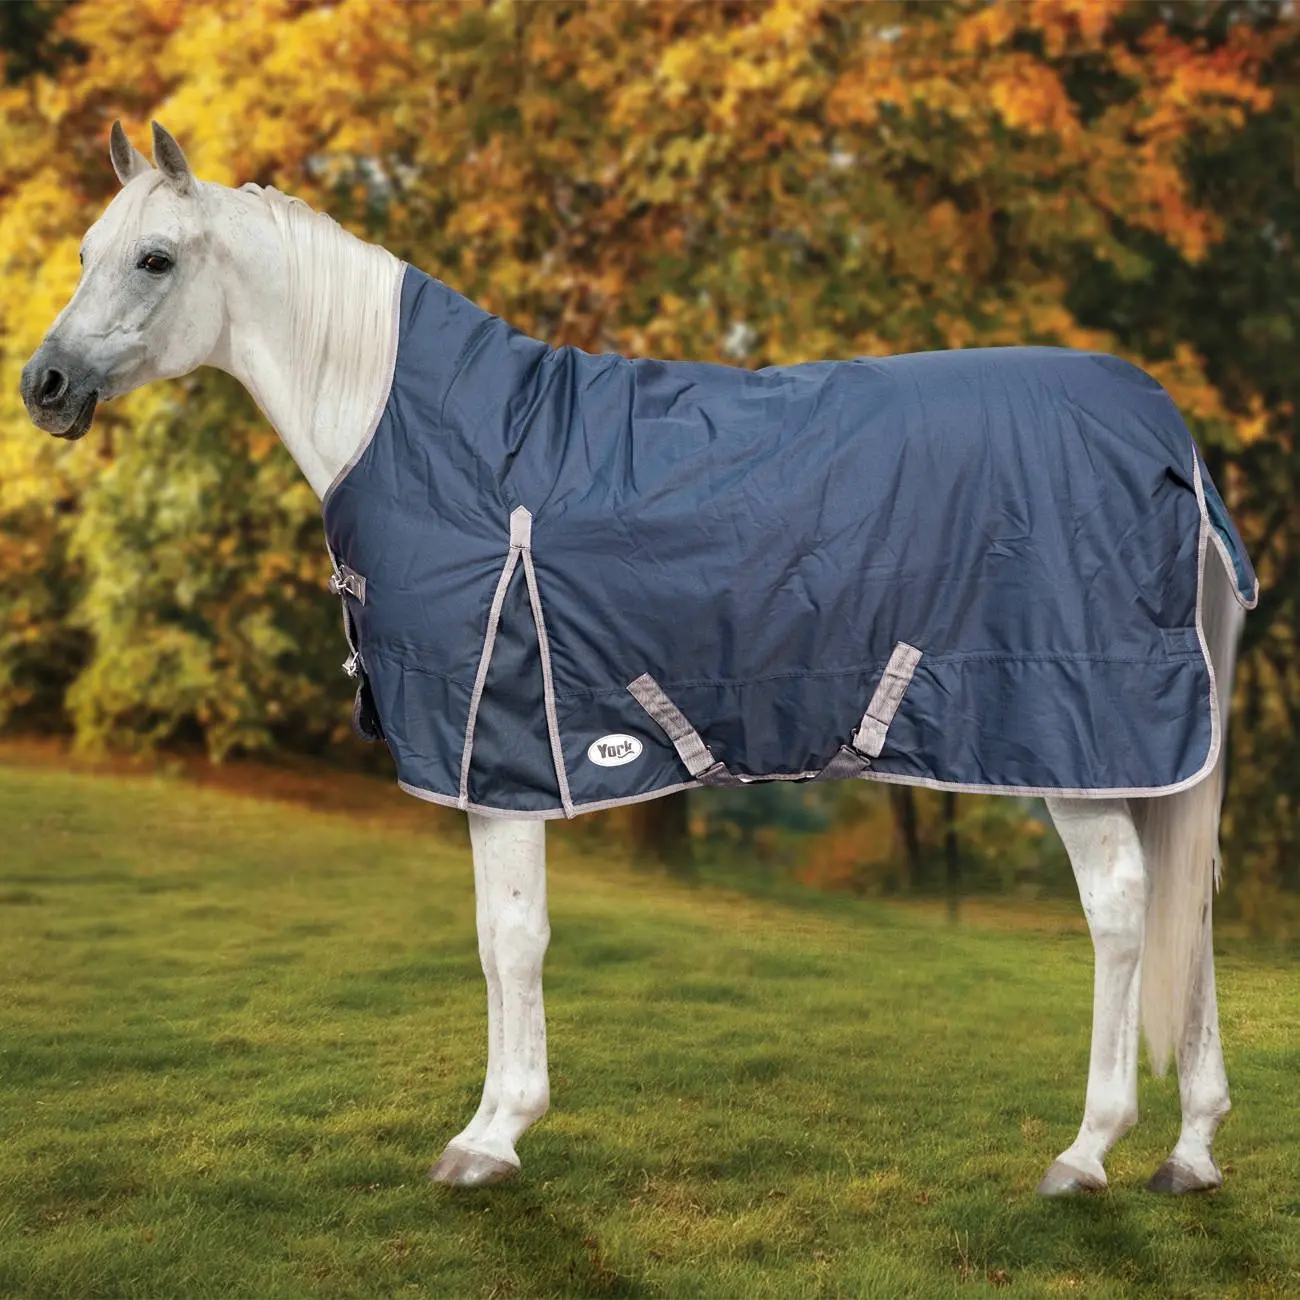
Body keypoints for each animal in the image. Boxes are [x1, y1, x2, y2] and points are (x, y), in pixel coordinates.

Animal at [20, 122, 1254, 1197]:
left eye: (155, 257)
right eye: (85, 252)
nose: (44, 386)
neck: (431, 437)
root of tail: (1172, 442)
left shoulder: (504, 752)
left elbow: (510, 939)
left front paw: (490, 1137)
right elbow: (500, 940)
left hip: (1073, 736)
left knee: (1125, 907)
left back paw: (1087, 1151)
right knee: (1189, 913)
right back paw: (1189, 1153)